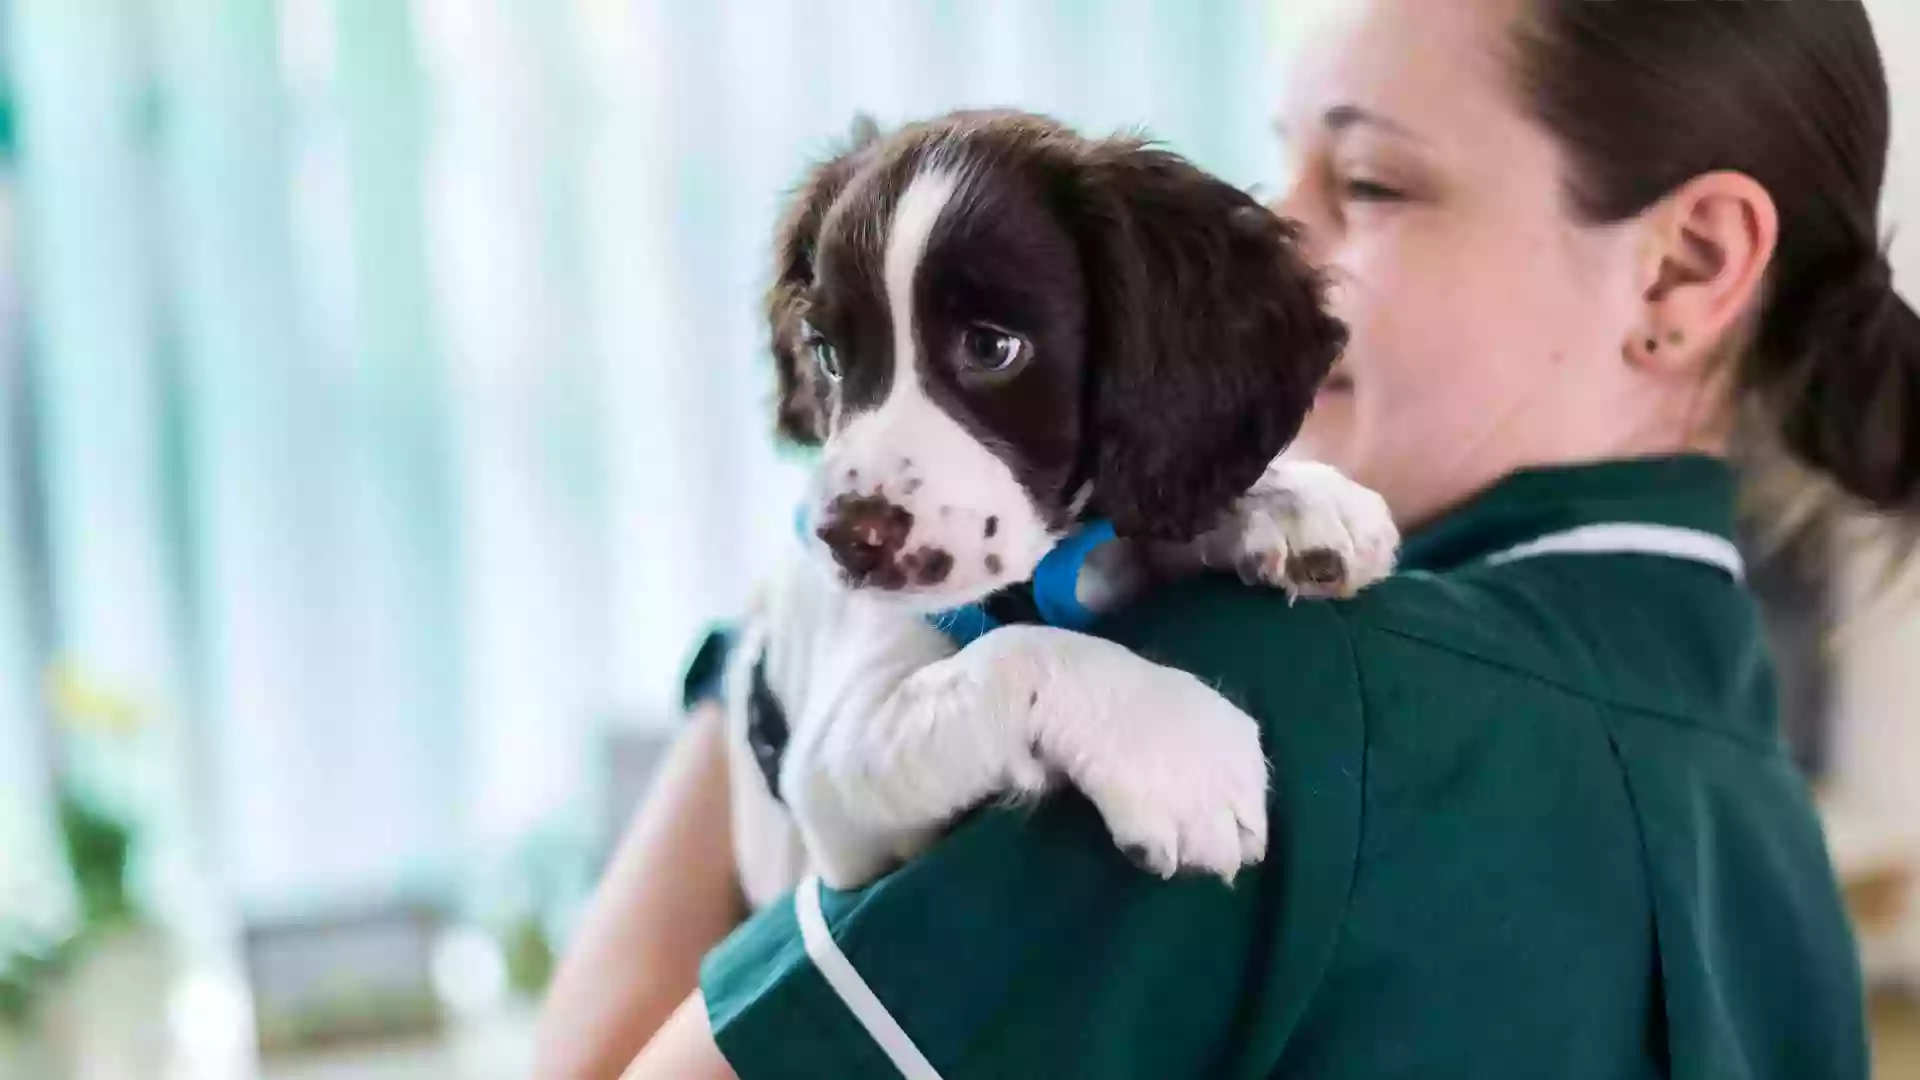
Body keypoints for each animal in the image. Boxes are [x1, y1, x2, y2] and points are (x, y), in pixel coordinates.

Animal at [721, 109, 1397, 903]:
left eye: (992, 347)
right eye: (827, 354)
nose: (843, 540)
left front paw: (1299, 500)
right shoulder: (833, 772)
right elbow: (1017, 648)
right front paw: (1178, 746)